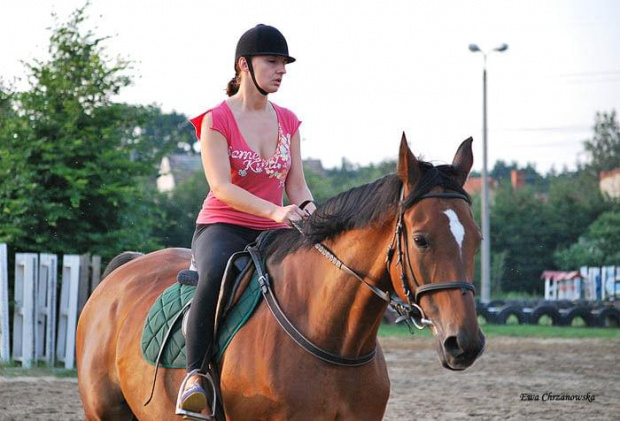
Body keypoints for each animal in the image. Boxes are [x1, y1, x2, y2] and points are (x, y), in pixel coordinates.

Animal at [76, 135, 484, 420]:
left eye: (478, 239)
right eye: (421, 239)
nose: (465, 342)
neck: (332, 337)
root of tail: (123, 272)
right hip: (104, 413)